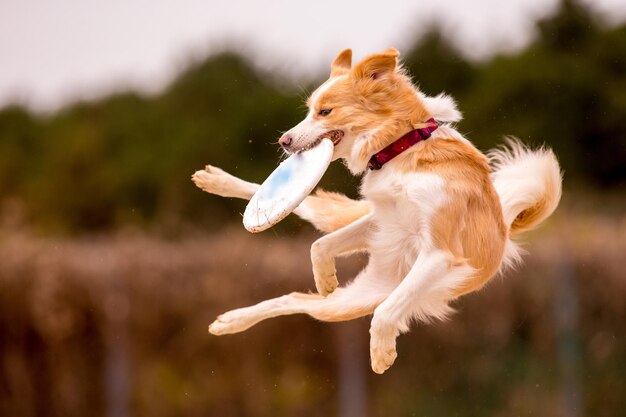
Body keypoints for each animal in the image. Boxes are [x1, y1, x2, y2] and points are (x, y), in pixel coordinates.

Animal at [190, 47, 560, 372]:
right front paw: (325, 278)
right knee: (305, 246)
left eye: (325, 112)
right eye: (309, 111)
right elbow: (319, 245)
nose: (284, 140)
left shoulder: (440, 252)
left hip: (356, 300)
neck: (400, 150)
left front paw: (381, 352)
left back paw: (234, 319)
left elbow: (386, 309)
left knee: (304, 298)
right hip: (349, 265)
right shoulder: (382, 219)